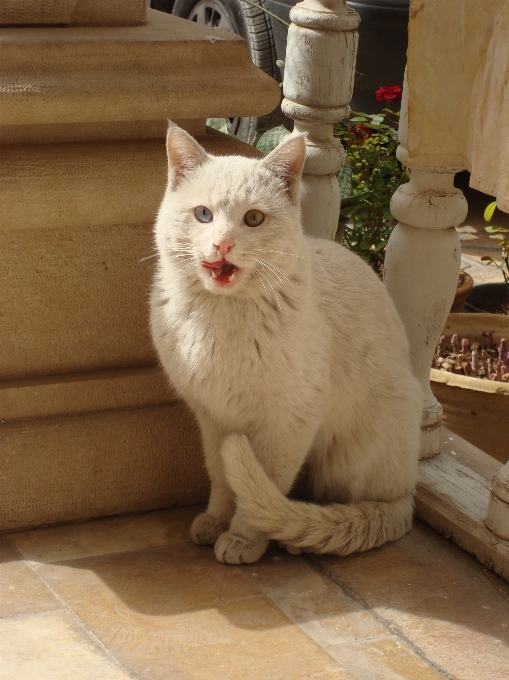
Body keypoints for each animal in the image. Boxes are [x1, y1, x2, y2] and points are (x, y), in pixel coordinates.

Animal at [151, 125, 420, 564]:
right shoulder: (212, 419)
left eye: (253, 218)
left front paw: (243, 539)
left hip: (356, 453)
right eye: (203, 214)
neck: (221, 319)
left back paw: (301, 535)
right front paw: (215, 521)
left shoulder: (289, 422)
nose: (222, 244)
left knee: (358, 505)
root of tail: (409, 499)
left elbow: (263, 488)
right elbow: (222, 479)